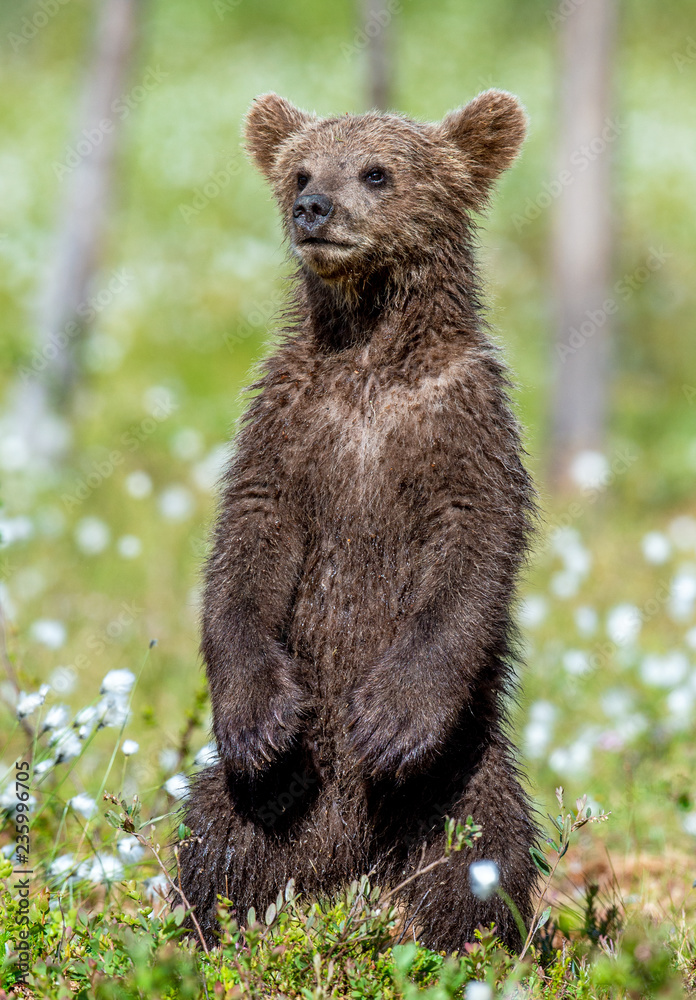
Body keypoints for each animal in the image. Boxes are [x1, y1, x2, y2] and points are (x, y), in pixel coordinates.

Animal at [175, 89, 540, 953]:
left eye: (377, 171)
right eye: (301, 170)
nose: (313, 209)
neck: (371, 360)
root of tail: (344, 864)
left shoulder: (461, 425)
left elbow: (472, 552)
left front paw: (390, 720)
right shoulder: (292, 427)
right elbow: (247, 549)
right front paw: (258, 716)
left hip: (462, 781)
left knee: (481, 858)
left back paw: (463, 943)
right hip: (267, 804)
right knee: (217, 836)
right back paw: (211, 931)